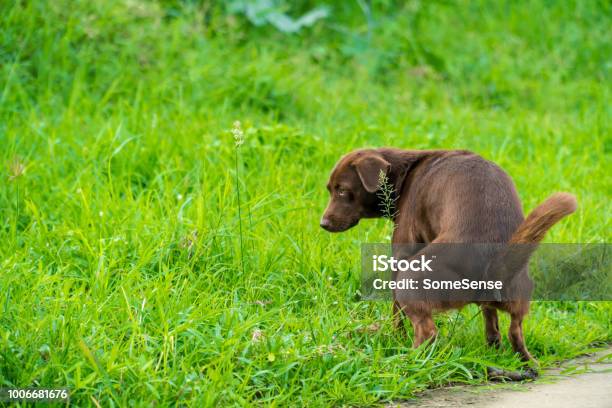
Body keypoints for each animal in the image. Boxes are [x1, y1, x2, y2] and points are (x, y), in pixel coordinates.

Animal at [322, 147, 576, 376]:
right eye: (330, 189)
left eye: (342, 191)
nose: (322, 224)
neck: (404, 173)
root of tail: (493, 265)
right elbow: (491, 318)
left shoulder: (402, 249)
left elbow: (396, 311)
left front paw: (394, 337)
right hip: (519, 292)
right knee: (513, 328)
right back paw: (519, 359)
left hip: (412, 276)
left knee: (427, 332)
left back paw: (408, 360)